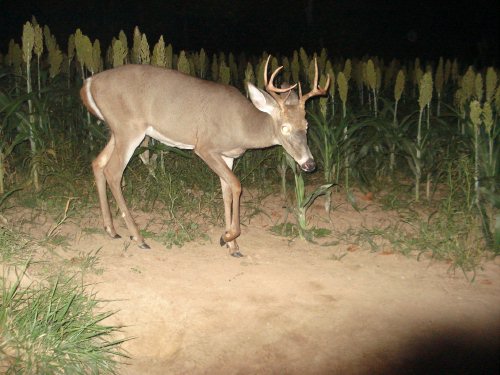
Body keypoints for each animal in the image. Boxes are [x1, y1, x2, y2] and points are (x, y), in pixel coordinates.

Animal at [80, 55, 330, 258]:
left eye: (306, 125)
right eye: (285, 127)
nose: (309, 164)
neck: (242, 125)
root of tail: (89, 82)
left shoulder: (228, 155)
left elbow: (227, 192)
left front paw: (233, 246)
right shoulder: (205, 146)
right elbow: (237, 185)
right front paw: (226, 237)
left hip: (118, 131)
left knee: (98, 163)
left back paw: (111, 230)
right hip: (129, 128)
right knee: (113, 171)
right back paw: (138, 238)